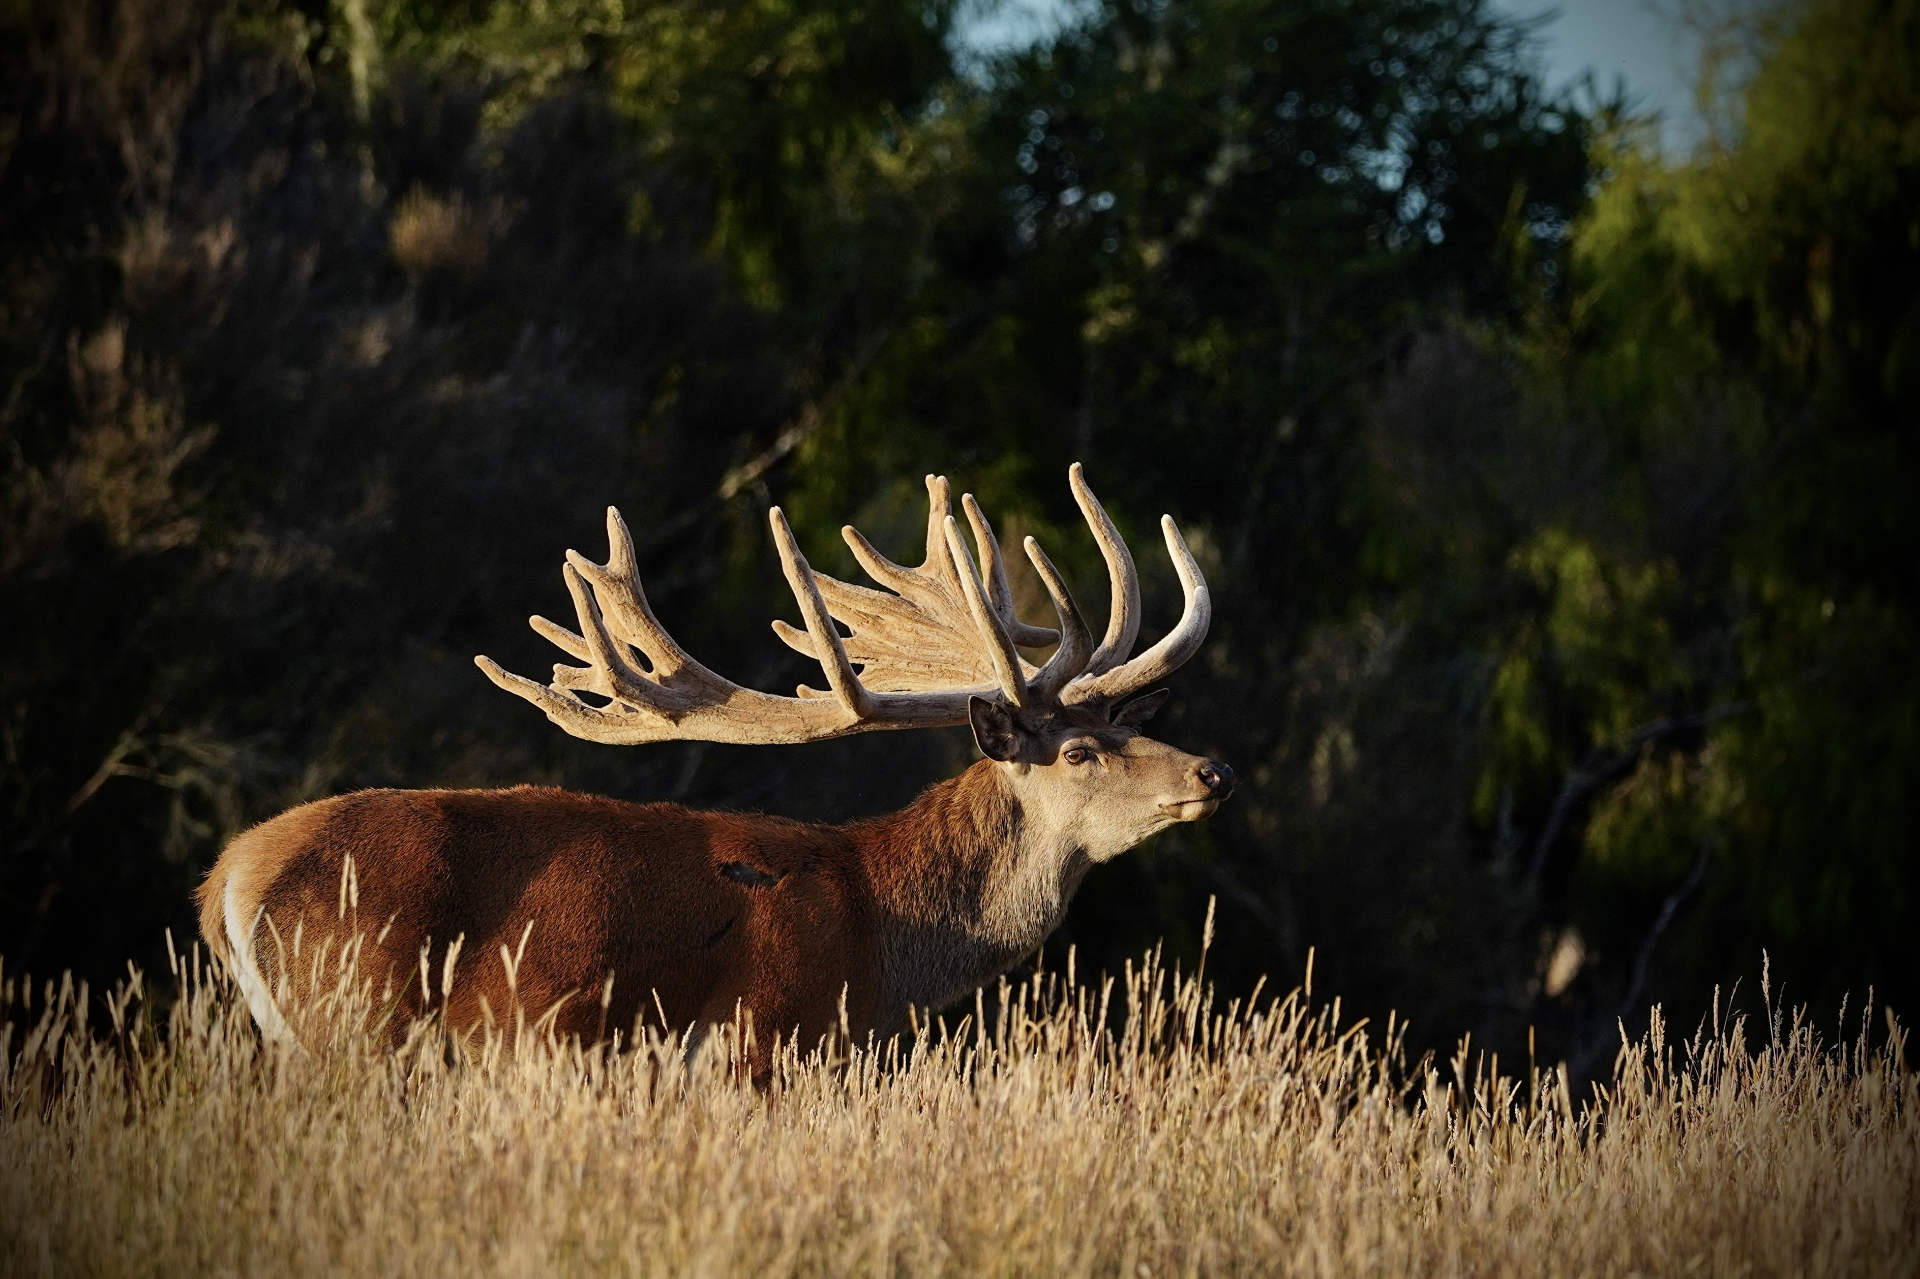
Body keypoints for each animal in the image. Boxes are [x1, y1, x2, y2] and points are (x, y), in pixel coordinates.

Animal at [195, 464, 1233, 1075]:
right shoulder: (762, 1036)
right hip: (352, 1016)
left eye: (1118, 725)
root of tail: (228, 878)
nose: (1212, 772)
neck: (882, 933)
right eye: (1080, 750)